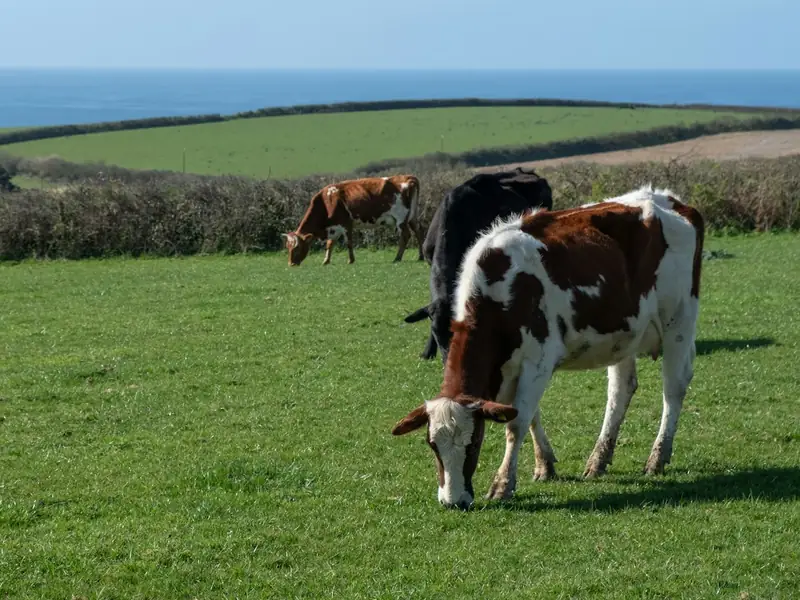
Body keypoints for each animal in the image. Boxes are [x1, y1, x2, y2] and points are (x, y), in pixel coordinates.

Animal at [283, 175, 424, 266]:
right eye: (287, 247)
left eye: (296, 248)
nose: (290, 264)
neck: (327, 201)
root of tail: (408, 177)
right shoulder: (334, 228)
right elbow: (330, 244)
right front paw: (326, 261)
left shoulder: (346, 224)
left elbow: (349, 243)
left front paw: (350, 260)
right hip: (412, 217)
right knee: (418, 232)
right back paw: (421, 256)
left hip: (401, 218)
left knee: (406, 235)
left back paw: (397, 258)